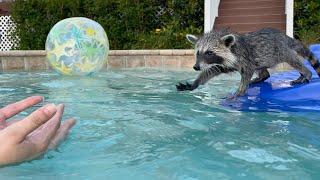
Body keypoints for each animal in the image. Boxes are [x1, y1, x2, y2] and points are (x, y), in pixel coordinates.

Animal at [175, 27, 320, 96]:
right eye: (198, 53)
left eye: (209, 53)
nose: (196, 67)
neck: (232, 48)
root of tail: (285, 37)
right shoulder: (226, 62)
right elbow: (212, 70)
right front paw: (195, 83)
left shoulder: (244, 58)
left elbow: (246, 74)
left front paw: (239, 93)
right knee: (262, 68)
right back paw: (263, 76)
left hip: (280, 50)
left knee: (294, 60)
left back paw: (306, 73)